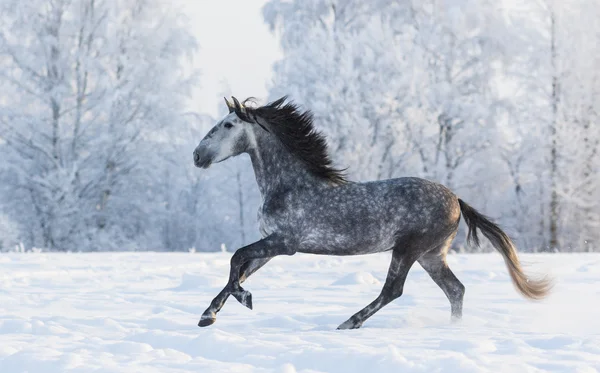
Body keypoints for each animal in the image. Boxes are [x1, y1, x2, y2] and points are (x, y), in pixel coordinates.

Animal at [193, 96, 552, 328]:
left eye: (227, 125)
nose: (197, 156)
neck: (289, 186)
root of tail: (456, 200)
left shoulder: (286, 243)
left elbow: (236, 259)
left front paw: (241, 300)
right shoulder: (271, 245)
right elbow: (240, 270)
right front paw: (208, 315)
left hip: (408, 249)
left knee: (394, 290)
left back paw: (349, 322)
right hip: (432, 254)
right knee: (455, 290)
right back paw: (453, 329)